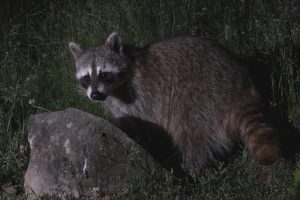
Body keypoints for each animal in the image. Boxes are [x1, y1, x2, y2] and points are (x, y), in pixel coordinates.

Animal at [68, 32, 282, 173]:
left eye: (104, 74)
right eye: (86, 77)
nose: (95, 95)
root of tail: (241, 81)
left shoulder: (142, 97)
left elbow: (148, 129)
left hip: (202, 95)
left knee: (191, 132)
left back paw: (192, 169)